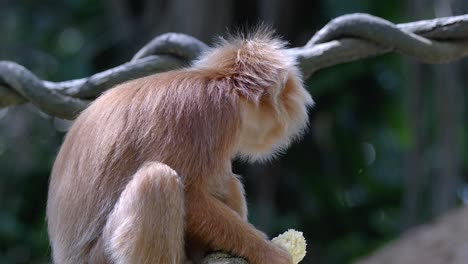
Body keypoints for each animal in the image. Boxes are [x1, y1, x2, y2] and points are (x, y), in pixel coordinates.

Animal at [46, 28, 314, 264]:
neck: (218, 84)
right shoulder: (210, 114)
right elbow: (192, 197)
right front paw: (271, 252)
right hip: (100, 257)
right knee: (157, 180)